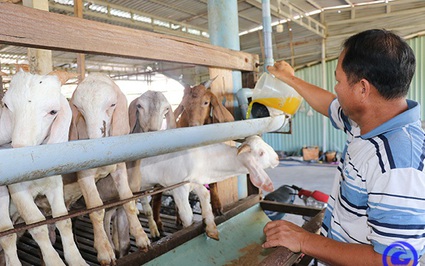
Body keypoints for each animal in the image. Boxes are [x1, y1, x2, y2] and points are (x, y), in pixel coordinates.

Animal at [0, 70, 87, 266]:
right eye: (6, 105)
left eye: (53, 111)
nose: (19, 150)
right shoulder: (17, 189)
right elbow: (37, 225)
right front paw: (54, 261)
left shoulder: (54, 183)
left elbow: (63, 219)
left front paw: (76, 259)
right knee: (6, 234)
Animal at [61, 73, 150, 266]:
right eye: (79, 108)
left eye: (112, 105)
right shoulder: (84, 175)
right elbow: (96, 209)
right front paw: (104, 250)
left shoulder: (119, 167)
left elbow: (127, 200)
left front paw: (141, 237)